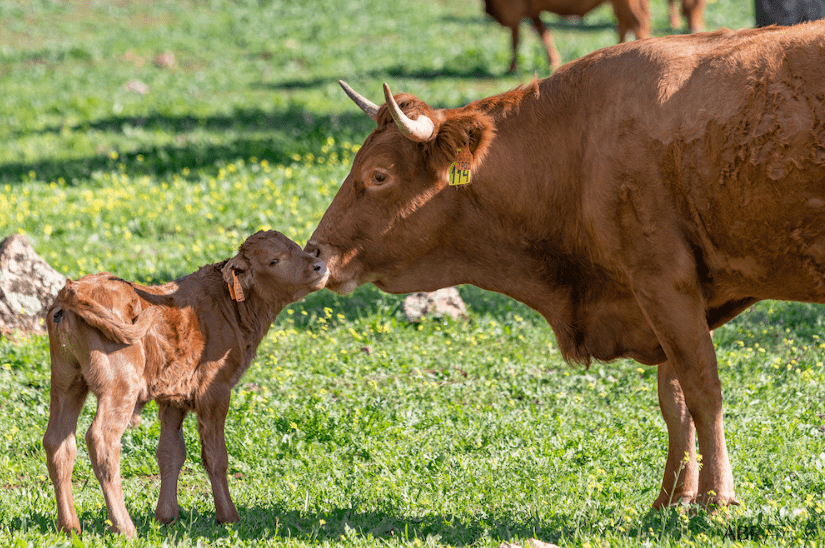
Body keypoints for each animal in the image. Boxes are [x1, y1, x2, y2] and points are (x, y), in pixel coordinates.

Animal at [43, 230, 328, 536]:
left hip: (66, 380)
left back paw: (69, 526)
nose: (319, 266)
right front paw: (228, 517)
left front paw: (166, 516)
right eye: (274, 260)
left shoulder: (173, 396)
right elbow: (215, 456)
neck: (229, 307)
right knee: (101, 440)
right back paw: (125, 527)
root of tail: (74, 289)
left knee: (58, 442)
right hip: (119, 385)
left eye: (298, 248)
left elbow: (170, 452)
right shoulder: (215, 391)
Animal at [305, 21, 825, 508]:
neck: (579, 144)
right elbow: (674, 400)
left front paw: (717, 499)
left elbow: (703, 392)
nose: (314, 254)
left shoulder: (663, 280)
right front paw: (672, 499)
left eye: (378, 176)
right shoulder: (666, 296)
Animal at [483, 0, 650, 72]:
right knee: (625, 24)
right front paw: (553, 61)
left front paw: (511, 68)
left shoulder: (514, 11)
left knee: (636, 23)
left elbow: (515, 40)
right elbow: (543, 33)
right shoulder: (531, 12)